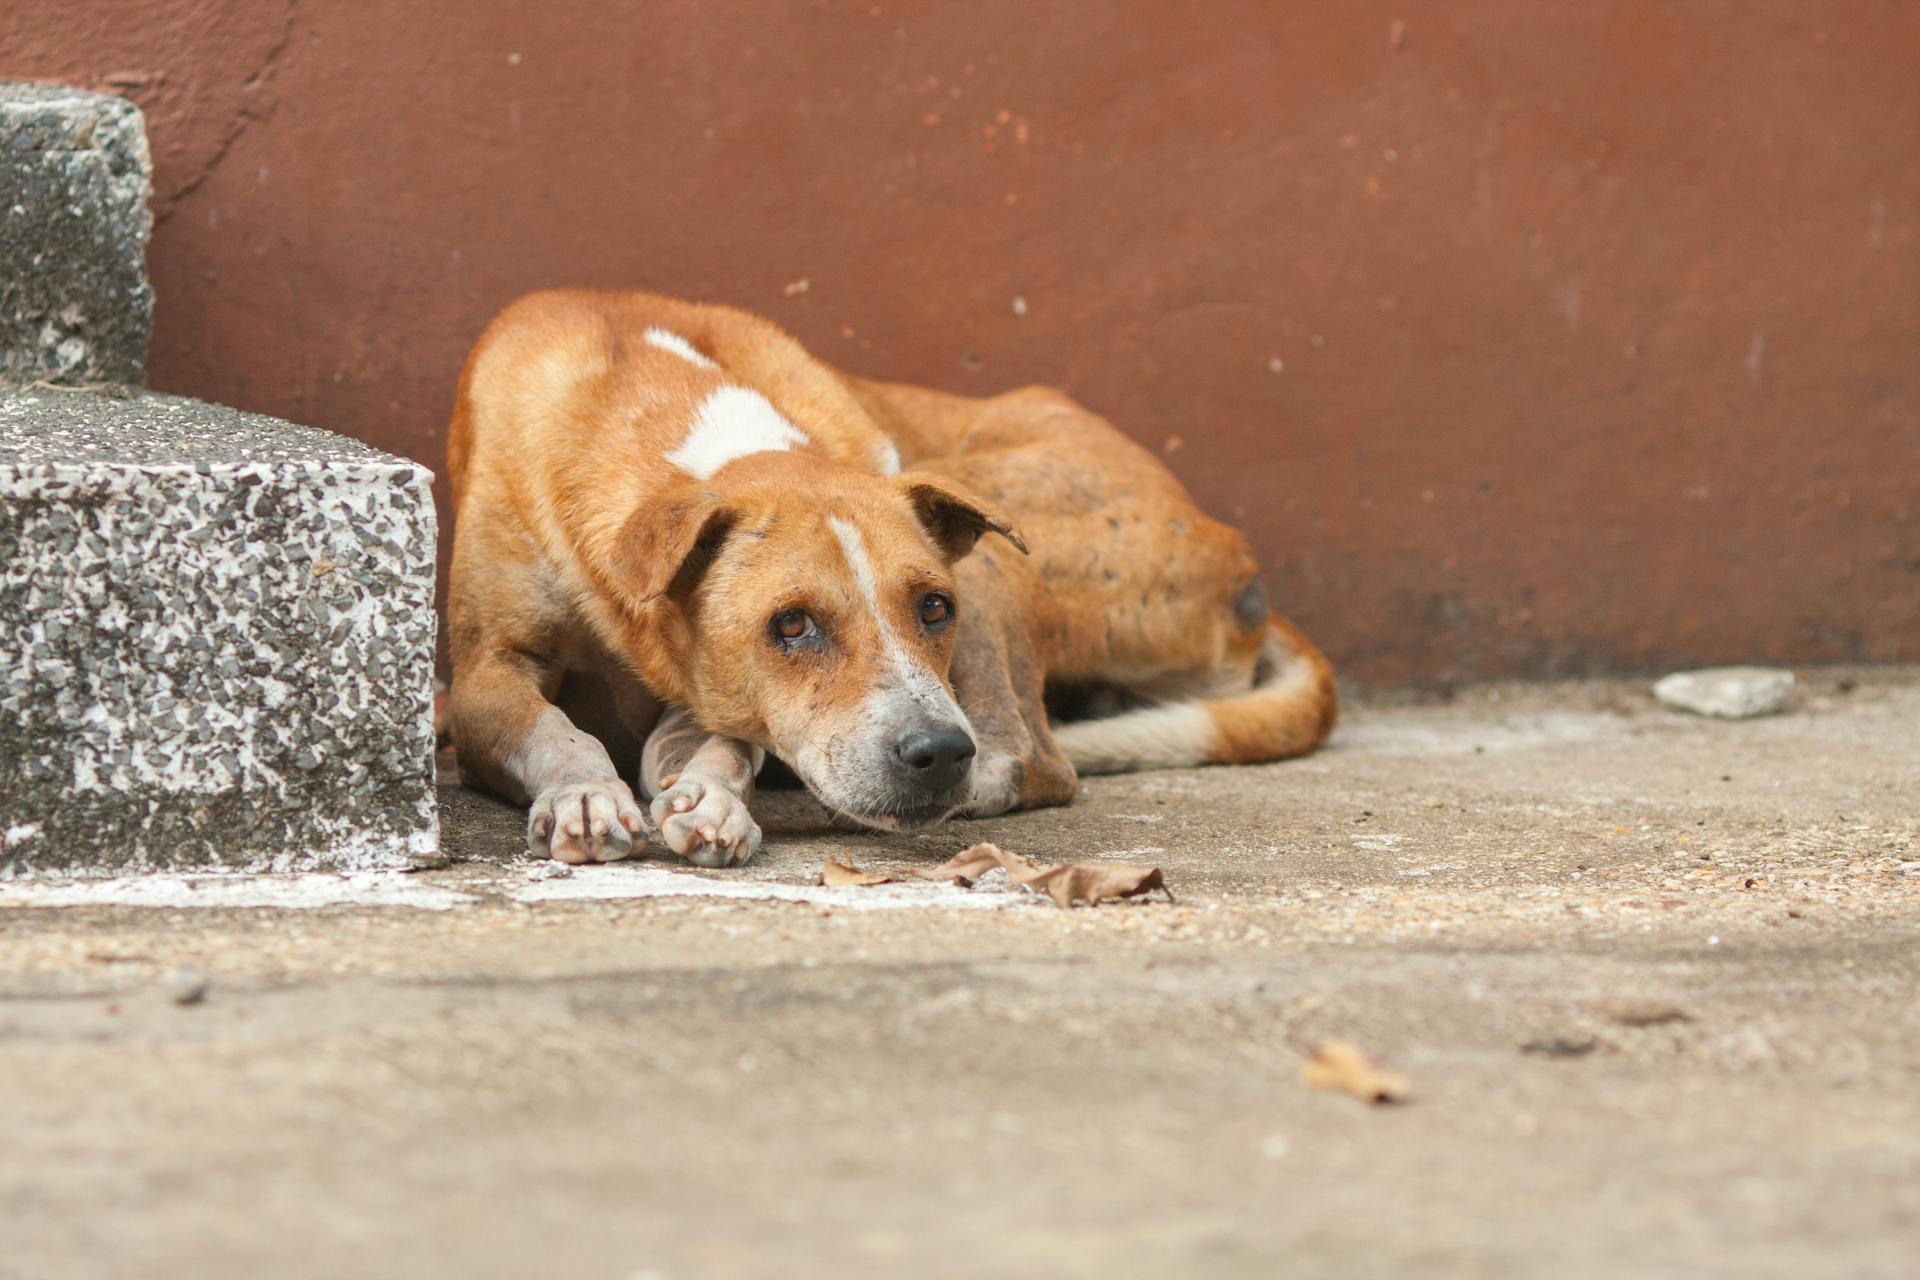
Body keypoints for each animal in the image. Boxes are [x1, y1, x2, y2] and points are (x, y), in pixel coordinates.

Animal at [445, 293, 1336, 867]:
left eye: (933, 607)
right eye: (791, 624)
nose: (938, 754)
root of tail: (1236, 555)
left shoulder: (716, 695)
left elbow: (727, 749)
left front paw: (717, 801)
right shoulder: (485, 672)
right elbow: (551, 729)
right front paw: (586, 794)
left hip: (1002, 540)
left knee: (1035, 762)